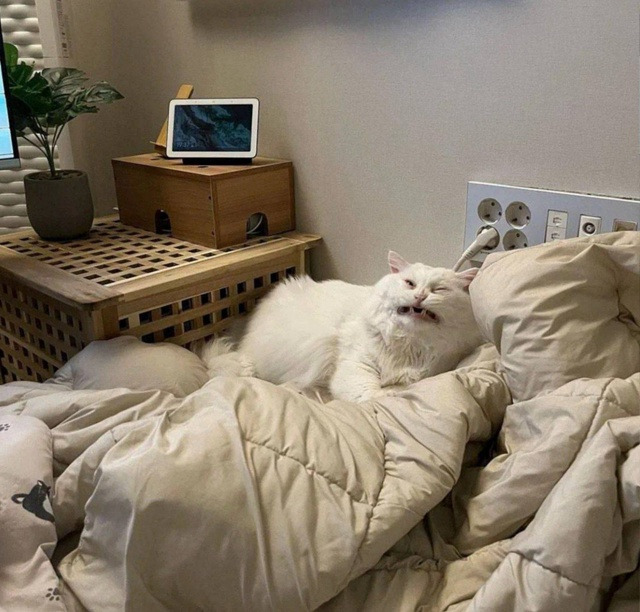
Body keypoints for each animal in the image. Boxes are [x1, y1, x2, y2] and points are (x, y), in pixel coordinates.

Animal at [200, 251, 483, 403]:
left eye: (439, 290)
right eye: (410, 283)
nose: (420, 296)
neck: (408, 345)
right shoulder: (356, 366)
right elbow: (370, 393)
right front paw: (386, 398)